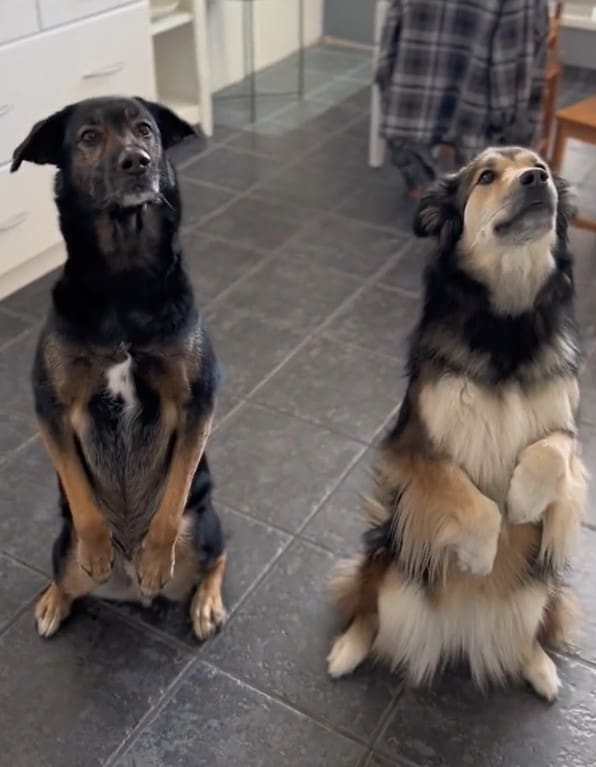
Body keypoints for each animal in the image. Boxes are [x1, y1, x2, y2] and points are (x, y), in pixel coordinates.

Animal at [12, 96, 226, 640]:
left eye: (145, 129)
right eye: (88, 137)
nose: (138, 161)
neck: (124, 276)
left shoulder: (197, 401)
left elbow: (173, 497)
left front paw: (155, 556)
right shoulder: (52, 408)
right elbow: (81, 497)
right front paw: (97, 548)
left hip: (204, 528)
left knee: (217, 556)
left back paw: (203, 601)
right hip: (61, 549)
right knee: (66, 575)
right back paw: (55, 598)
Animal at [330, 146, 588, 704]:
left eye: (539, 164)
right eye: (486, 176)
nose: (536, 179)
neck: (506, 327)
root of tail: (462, 627)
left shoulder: (570, 430)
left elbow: (553, 449)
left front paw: (526, 499)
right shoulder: (412, 445)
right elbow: (474, 499)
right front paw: (479, 553)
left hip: (539, 589)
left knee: (529, 634)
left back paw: (539, 668)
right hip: (391, 562)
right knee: (368, 608)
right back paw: (347, 651)